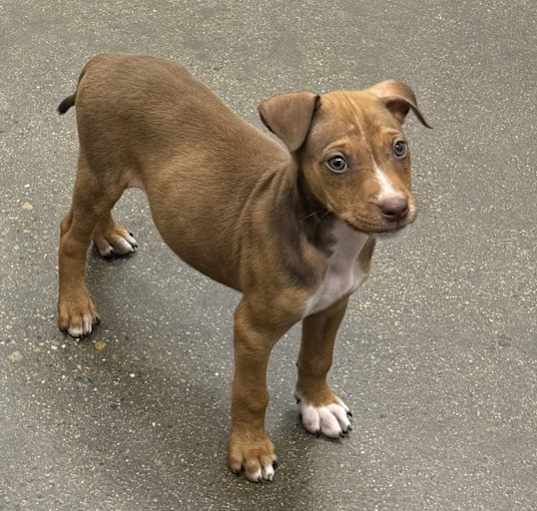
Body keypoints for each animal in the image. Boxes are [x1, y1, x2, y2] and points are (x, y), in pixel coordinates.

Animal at [56, 55, 430, 484]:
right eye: (337, 163)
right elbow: (252, 394)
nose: (395, 207)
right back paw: (75, 307)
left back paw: (108, 237)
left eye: (399, 148)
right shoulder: (252, 328)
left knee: (89, 219)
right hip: (100, 169)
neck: (328, 239)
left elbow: (318, 358)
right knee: (69, 236)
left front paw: (318, 405)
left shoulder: (332, 306)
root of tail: (106, 58)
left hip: (107, 172)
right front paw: (252, 451)